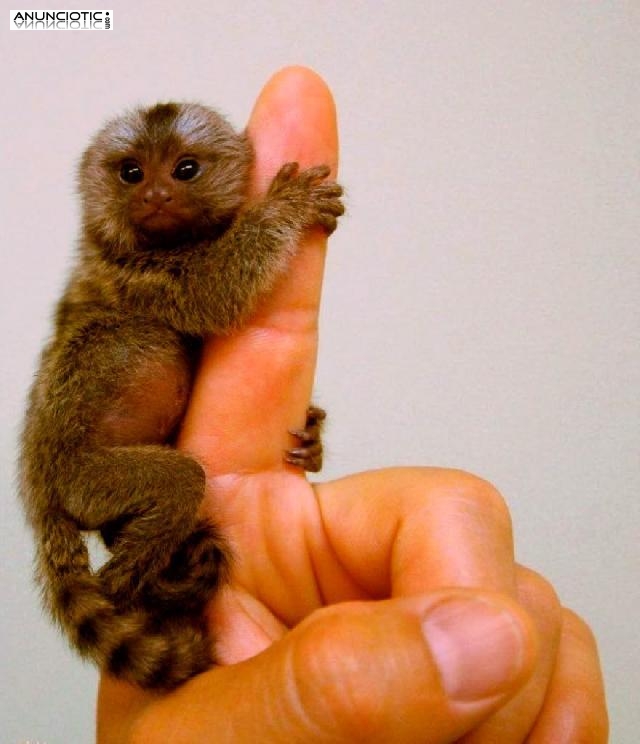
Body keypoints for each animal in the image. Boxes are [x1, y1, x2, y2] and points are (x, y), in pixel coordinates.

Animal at [18, 101, 344, 690]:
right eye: (132, 174)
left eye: (184, 170)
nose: (155, 196)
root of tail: (39, 495)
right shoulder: (142, 275)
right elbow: (214, 290)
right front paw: (286, 207)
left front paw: (312, 437)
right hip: (84, 481)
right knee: (180, 481)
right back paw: (133, 578)